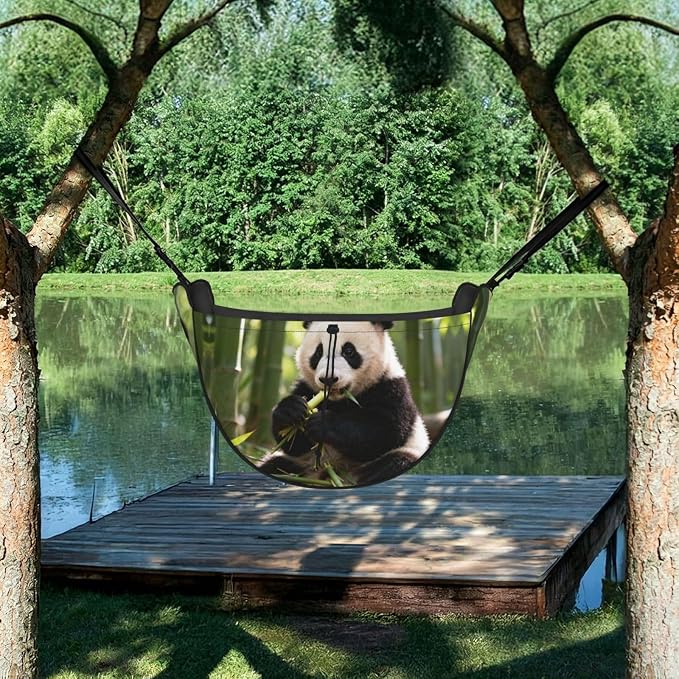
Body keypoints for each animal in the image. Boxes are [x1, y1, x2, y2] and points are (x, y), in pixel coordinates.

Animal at [257, 320, 430, 486]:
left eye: (349, 351)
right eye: (318, 352)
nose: (328, 379)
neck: (339, 400)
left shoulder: (390, 388)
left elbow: (385, 431)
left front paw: (324, 423)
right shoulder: (307, 388)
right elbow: (294, 445)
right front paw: (291, 410)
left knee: (397, 462)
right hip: (299, 464)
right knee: (275, 465)